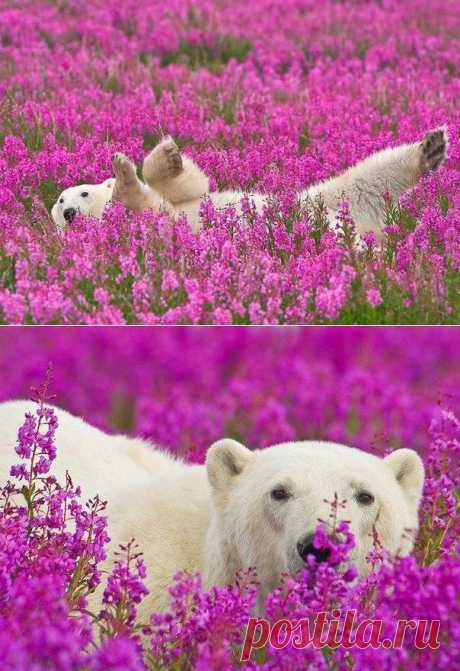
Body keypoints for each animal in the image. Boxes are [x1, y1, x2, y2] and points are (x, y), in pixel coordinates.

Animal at [51, 128, 450, 239]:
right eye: (59, 203)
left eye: (80, 192)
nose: (69, 213)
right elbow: (143, 204)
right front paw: (123, 175)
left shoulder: (183, 200)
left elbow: (191, 186)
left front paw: (165, 155)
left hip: (325, 199)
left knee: (369, 175)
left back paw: (431, 146)